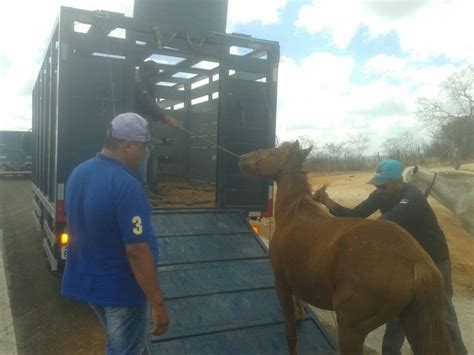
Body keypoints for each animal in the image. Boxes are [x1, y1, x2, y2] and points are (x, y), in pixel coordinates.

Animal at [239, 141, 454, 355]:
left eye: (271, 152)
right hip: (413, 323)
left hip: (350, 329)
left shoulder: (282, 284)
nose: (243, 158)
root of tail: (417, 262)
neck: (295, 213)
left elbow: (291, 335)